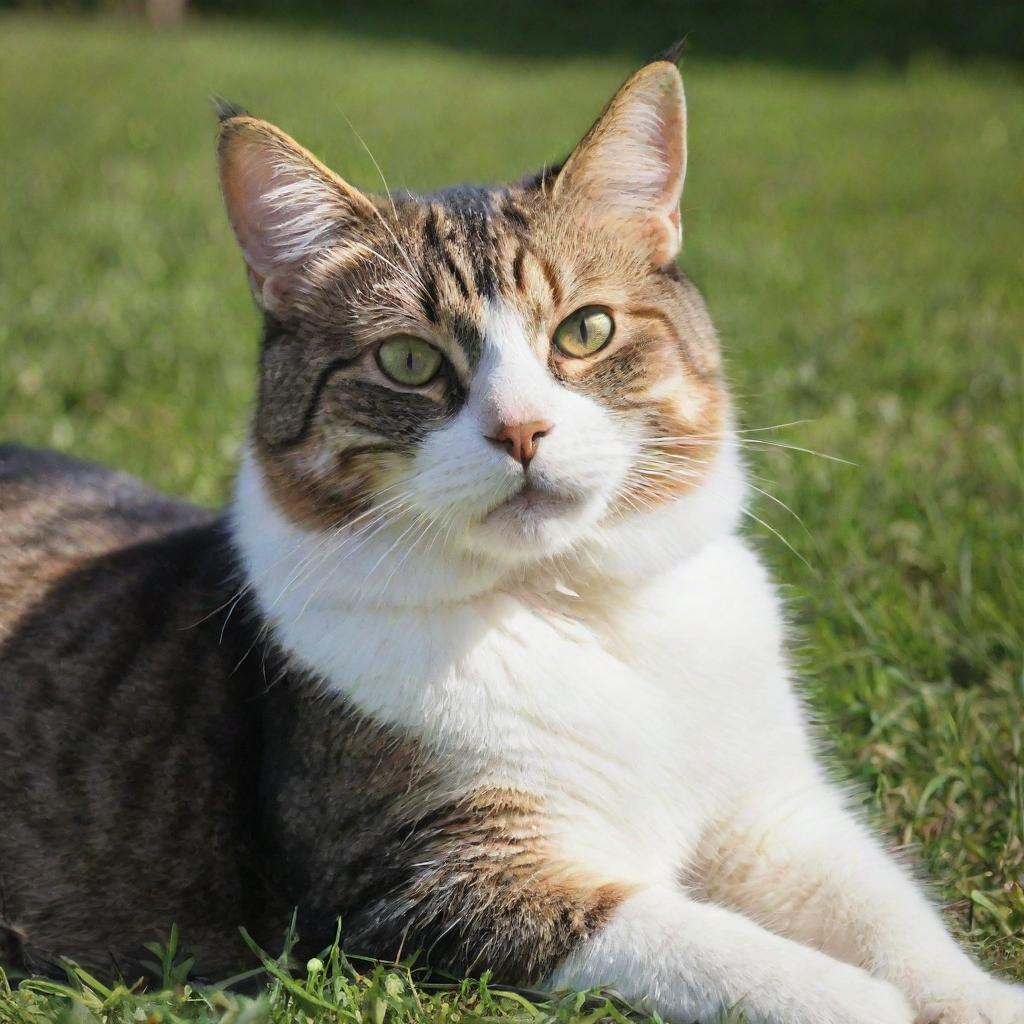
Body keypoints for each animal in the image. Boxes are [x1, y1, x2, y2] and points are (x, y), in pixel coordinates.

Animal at [2, 56, 1024, 1024]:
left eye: (587, 329)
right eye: (408, 360)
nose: (522, 430)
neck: (579, 605)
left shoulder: (773, 812)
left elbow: (886, 911)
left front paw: (974, 997)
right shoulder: (425, 876)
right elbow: (706, 944)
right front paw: (860, 1000)